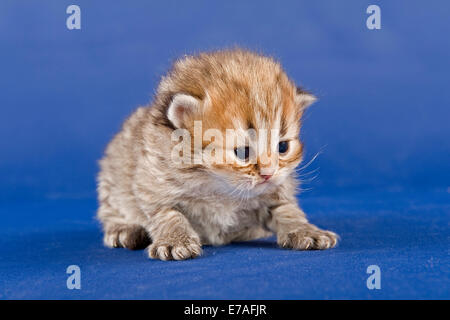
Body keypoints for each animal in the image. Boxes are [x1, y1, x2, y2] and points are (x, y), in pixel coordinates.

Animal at [97, 49, 338, 260]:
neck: (219, 187)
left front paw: (306, 230)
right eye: (242, 152)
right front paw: (175, 240)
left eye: (282, 147)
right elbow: (167, 214)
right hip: (111, 176)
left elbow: (286, 210)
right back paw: (124, 229)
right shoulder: (151, 183)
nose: (268, 174)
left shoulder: (276, 190)